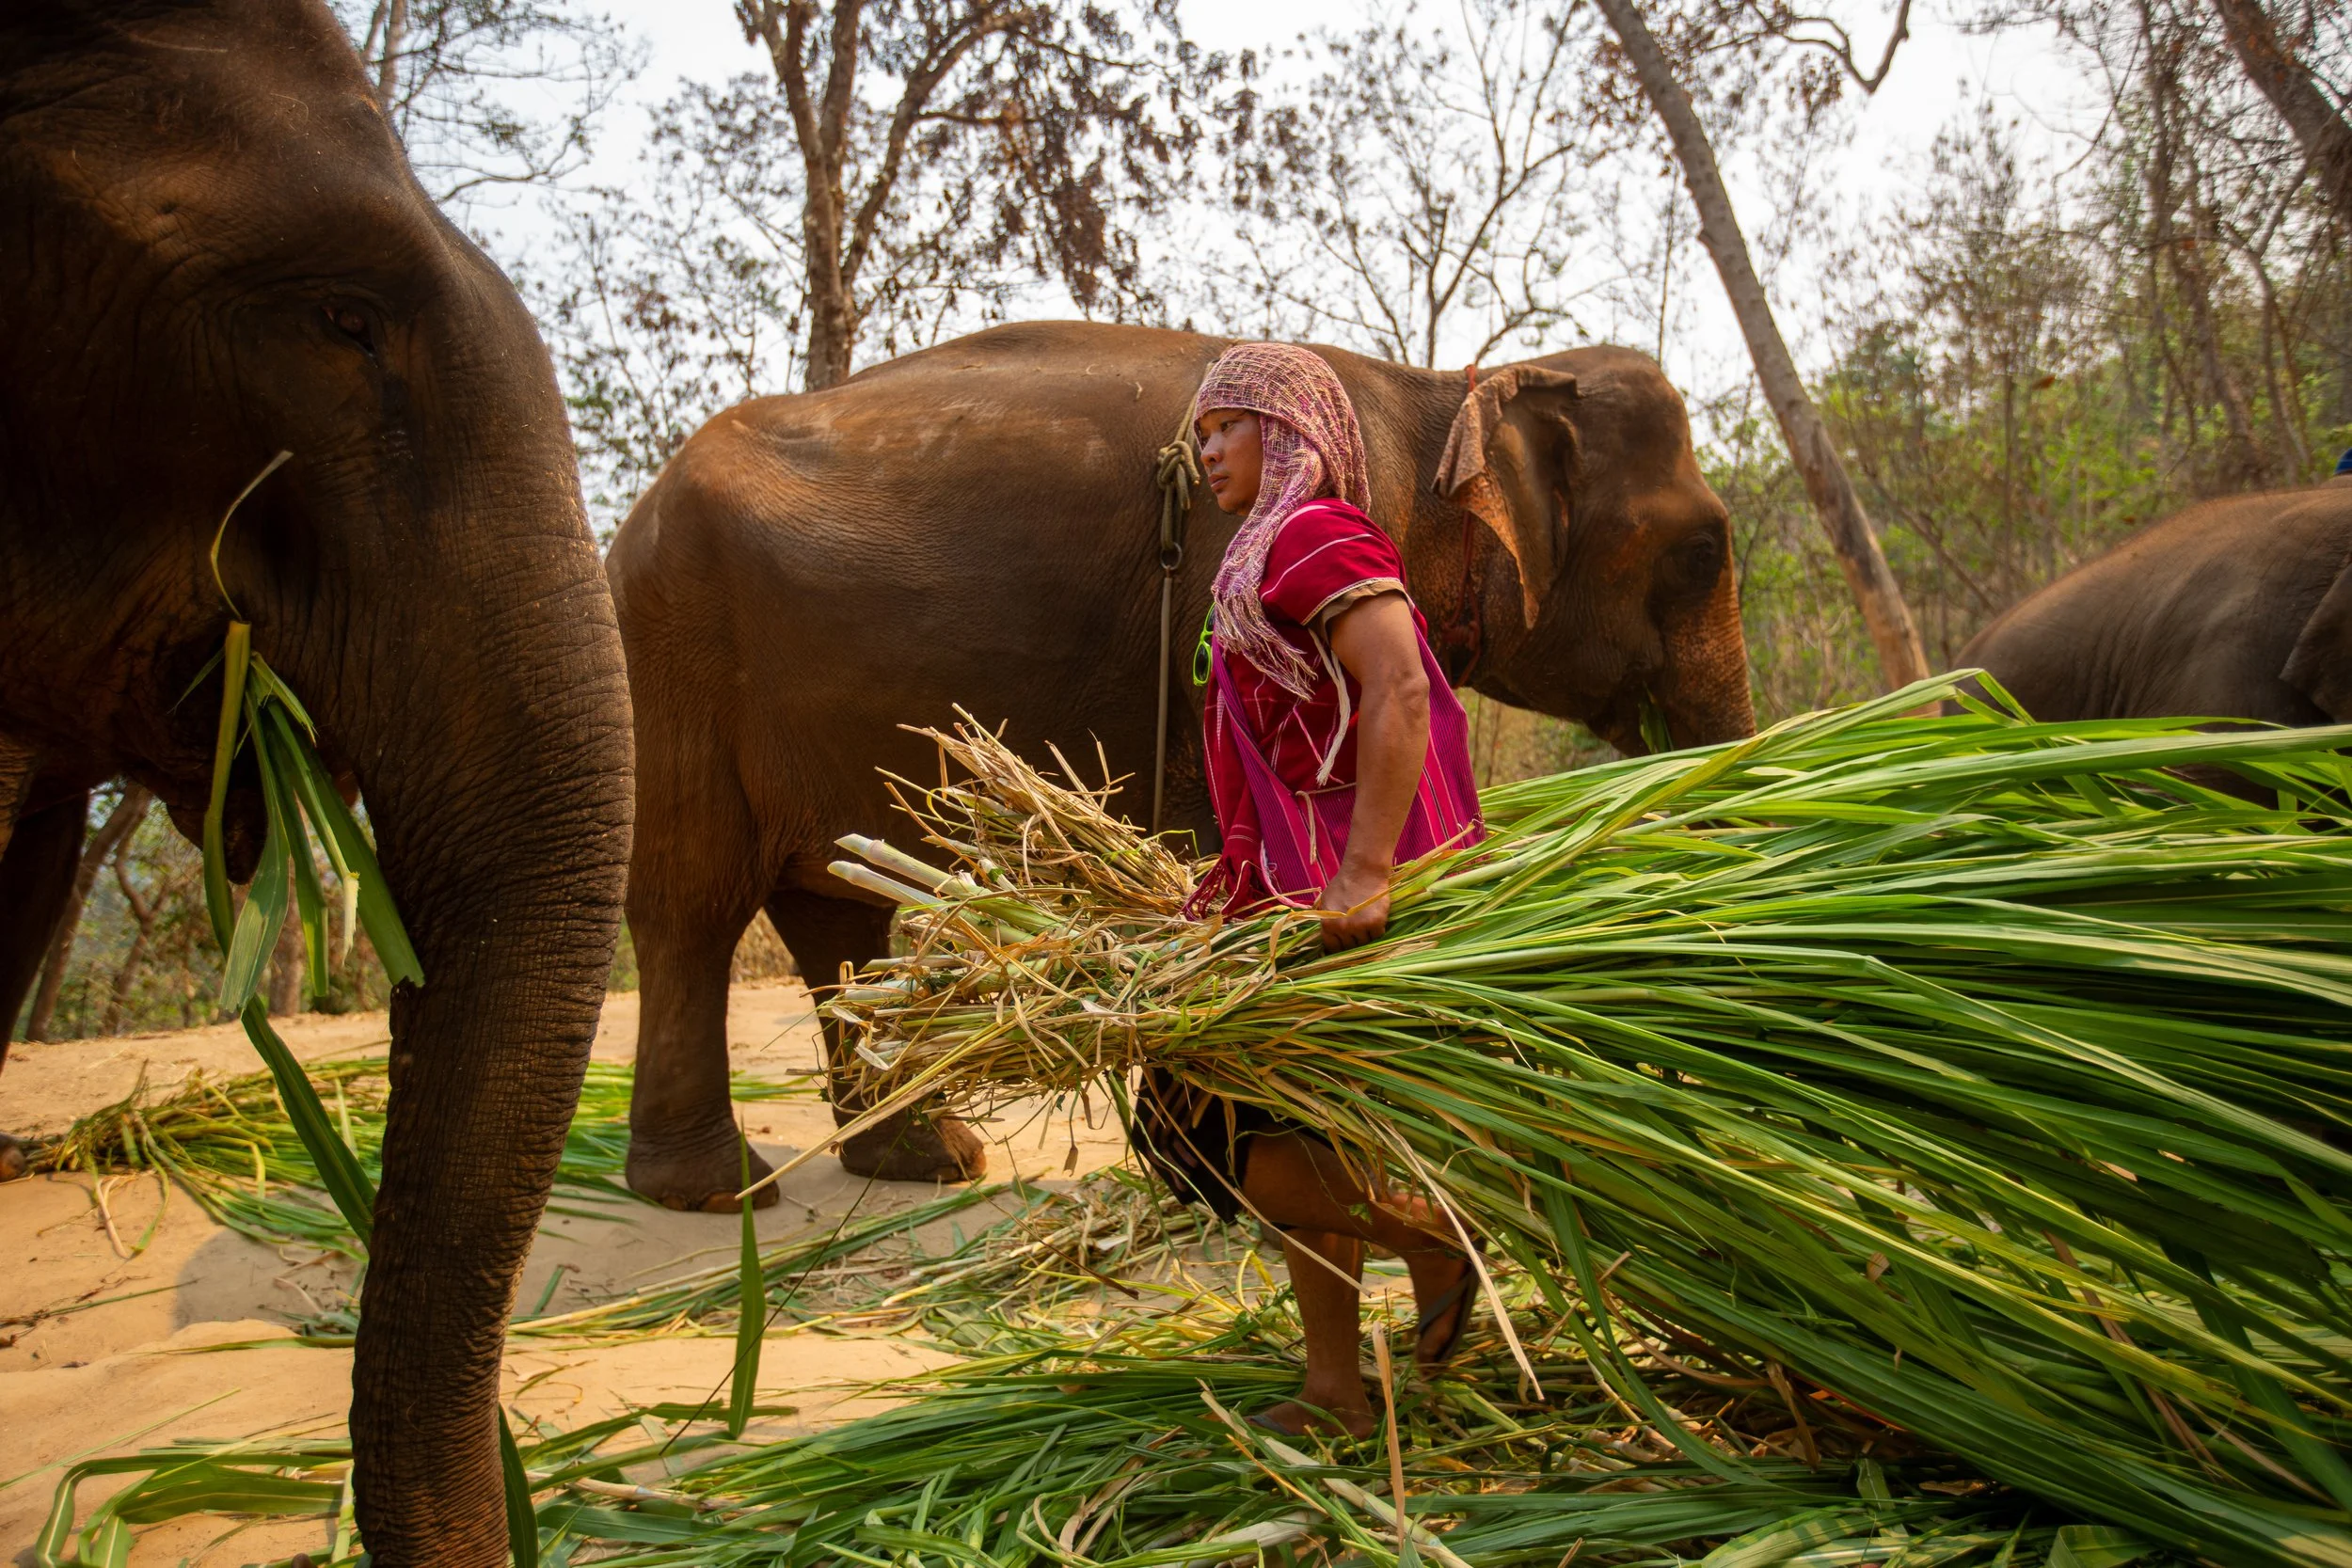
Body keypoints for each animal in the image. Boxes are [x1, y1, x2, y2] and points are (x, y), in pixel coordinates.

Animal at [607, 322, 1756, 1207]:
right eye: (1703, 549)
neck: (1445, 392)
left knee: (834, 915)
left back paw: (929, 1160)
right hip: (671, 654)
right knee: (693, 902)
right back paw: (715, 1190)